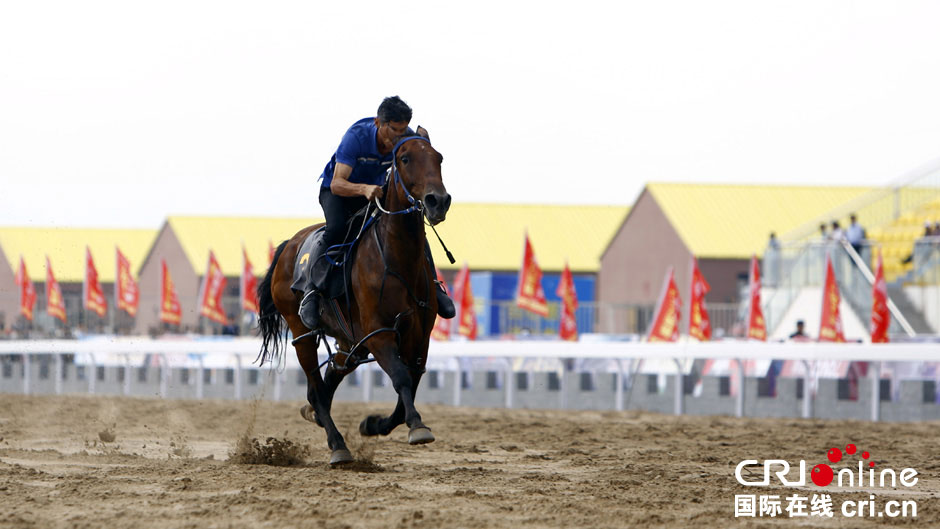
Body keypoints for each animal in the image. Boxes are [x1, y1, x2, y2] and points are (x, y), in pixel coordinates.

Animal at [255, 130, 450, 464]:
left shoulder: (419, 335)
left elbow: (412, 380)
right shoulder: (378, 332)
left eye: (438, 157)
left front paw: (374, 424)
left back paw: (316, 416)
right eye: (405, 158)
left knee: (331, 374)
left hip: (349, 340)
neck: (397, 259)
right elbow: (401, 377)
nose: (438, 201)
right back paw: (338, 445)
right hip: (302, 331)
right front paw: (417, 426)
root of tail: (288, 246)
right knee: (317, 388)